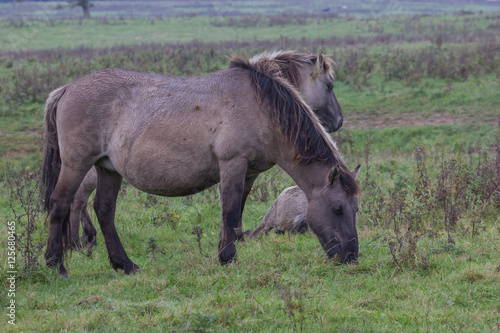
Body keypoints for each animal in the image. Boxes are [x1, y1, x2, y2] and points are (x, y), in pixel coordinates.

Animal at [41, 50, 358, 276]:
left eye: (356, 209)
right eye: (337, 209)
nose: (351, 256)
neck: (262, 107)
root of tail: (66, 89)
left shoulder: (248, 173)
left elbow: (235, 213)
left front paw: (224, 252)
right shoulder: (233, 165)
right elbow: (230, 212)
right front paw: (228, 258)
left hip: (107, 169)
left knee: (104, 210)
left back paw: (125, 265)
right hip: (77, 165)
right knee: (61, 204)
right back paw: (57, 265)